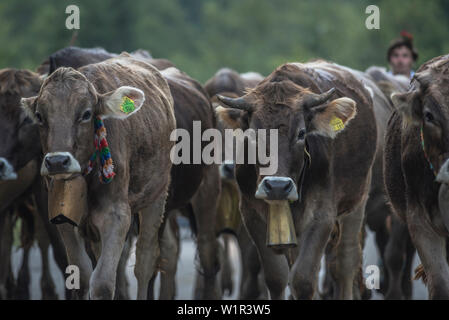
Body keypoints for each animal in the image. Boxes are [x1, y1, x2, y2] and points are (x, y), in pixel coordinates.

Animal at [215, 61, 376, 298]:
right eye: (253, 134)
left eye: (301, 133)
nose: (277, 186)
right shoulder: (252, 215)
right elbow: (277, 277)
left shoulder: (322, 217)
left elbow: (303, 279)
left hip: (356, 205)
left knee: (345, 263)